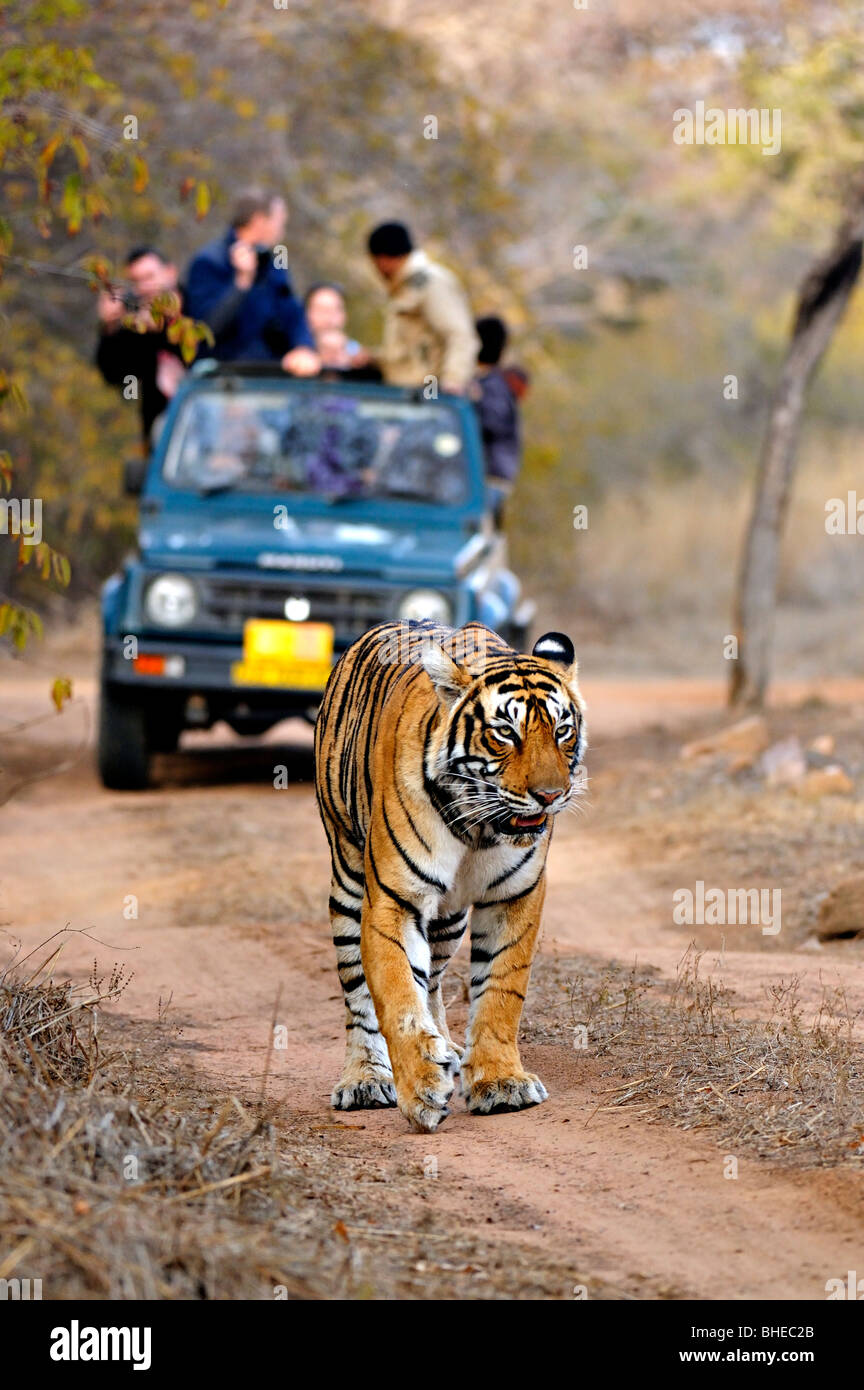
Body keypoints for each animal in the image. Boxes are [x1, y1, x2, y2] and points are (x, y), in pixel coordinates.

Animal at [312, 619, 588, 1128]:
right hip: (347, 879)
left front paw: (501, 1082)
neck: (479, 826)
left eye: (562, 731)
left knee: (435, 982)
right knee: (359, 993)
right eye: (505, 733)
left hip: (449, 920)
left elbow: (500, 991)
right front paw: (421, 1087)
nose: (550, 795)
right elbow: (398, 995)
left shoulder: (513, 897)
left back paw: (448, 1049)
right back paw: (365, 1078)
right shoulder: (394, 899)